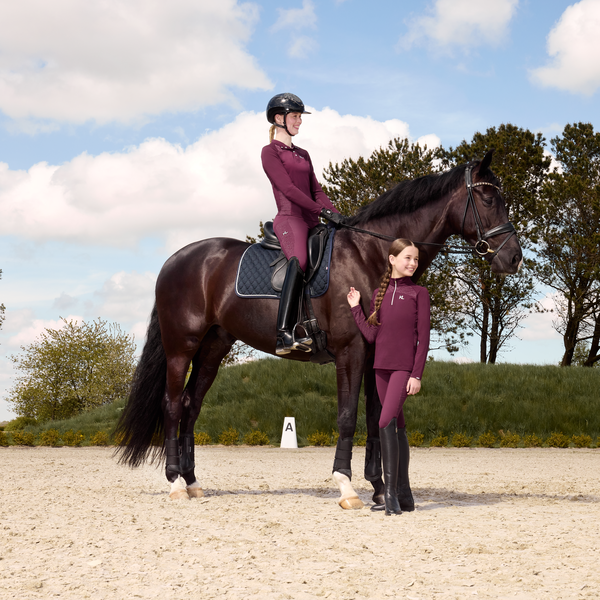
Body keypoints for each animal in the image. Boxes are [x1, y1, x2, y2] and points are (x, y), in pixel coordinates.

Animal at [116, 150, 520, 506]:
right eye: (487, 197)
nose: (513, 257)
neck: (370, 255)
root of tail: (175, 260)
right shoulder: (350, 351)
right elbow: (347, 417)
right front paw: (347, 486)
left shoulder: (374, 355)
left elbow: (374, 417)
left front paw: (378, 488)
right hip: (181, 346)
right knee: (172, 405)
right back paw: (175, 483)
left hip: (214, 347)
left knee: (190, 405)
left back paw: (193, 482)